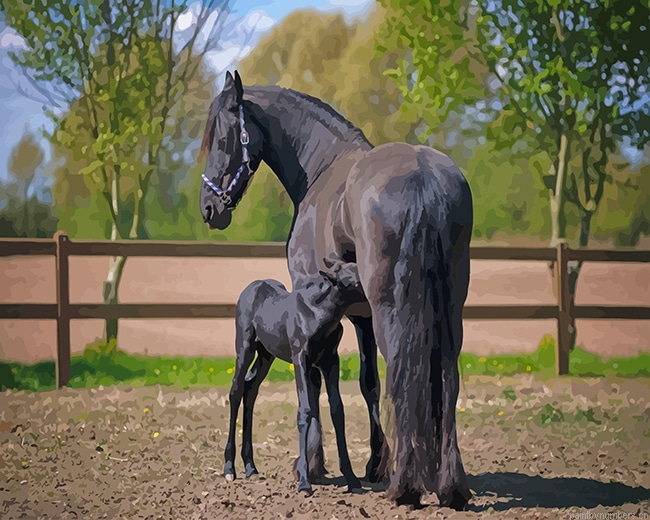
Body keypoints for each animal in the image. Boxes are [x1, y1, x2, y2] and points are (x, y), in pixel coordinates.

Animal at [225, 258, 365, 495]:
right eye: (354, 282)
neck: (320, 314)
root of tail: (251, 287)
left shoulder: (331, 361)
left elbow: (338, 410)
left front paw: (352, 479)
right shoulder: (300, 358)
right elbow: (305, 410)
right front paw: (304, 482)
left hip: (266, 354)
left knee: (251, 388)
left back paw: (251, 467)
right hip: (244, 346)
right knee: (236, 389)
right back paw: (229, 468)